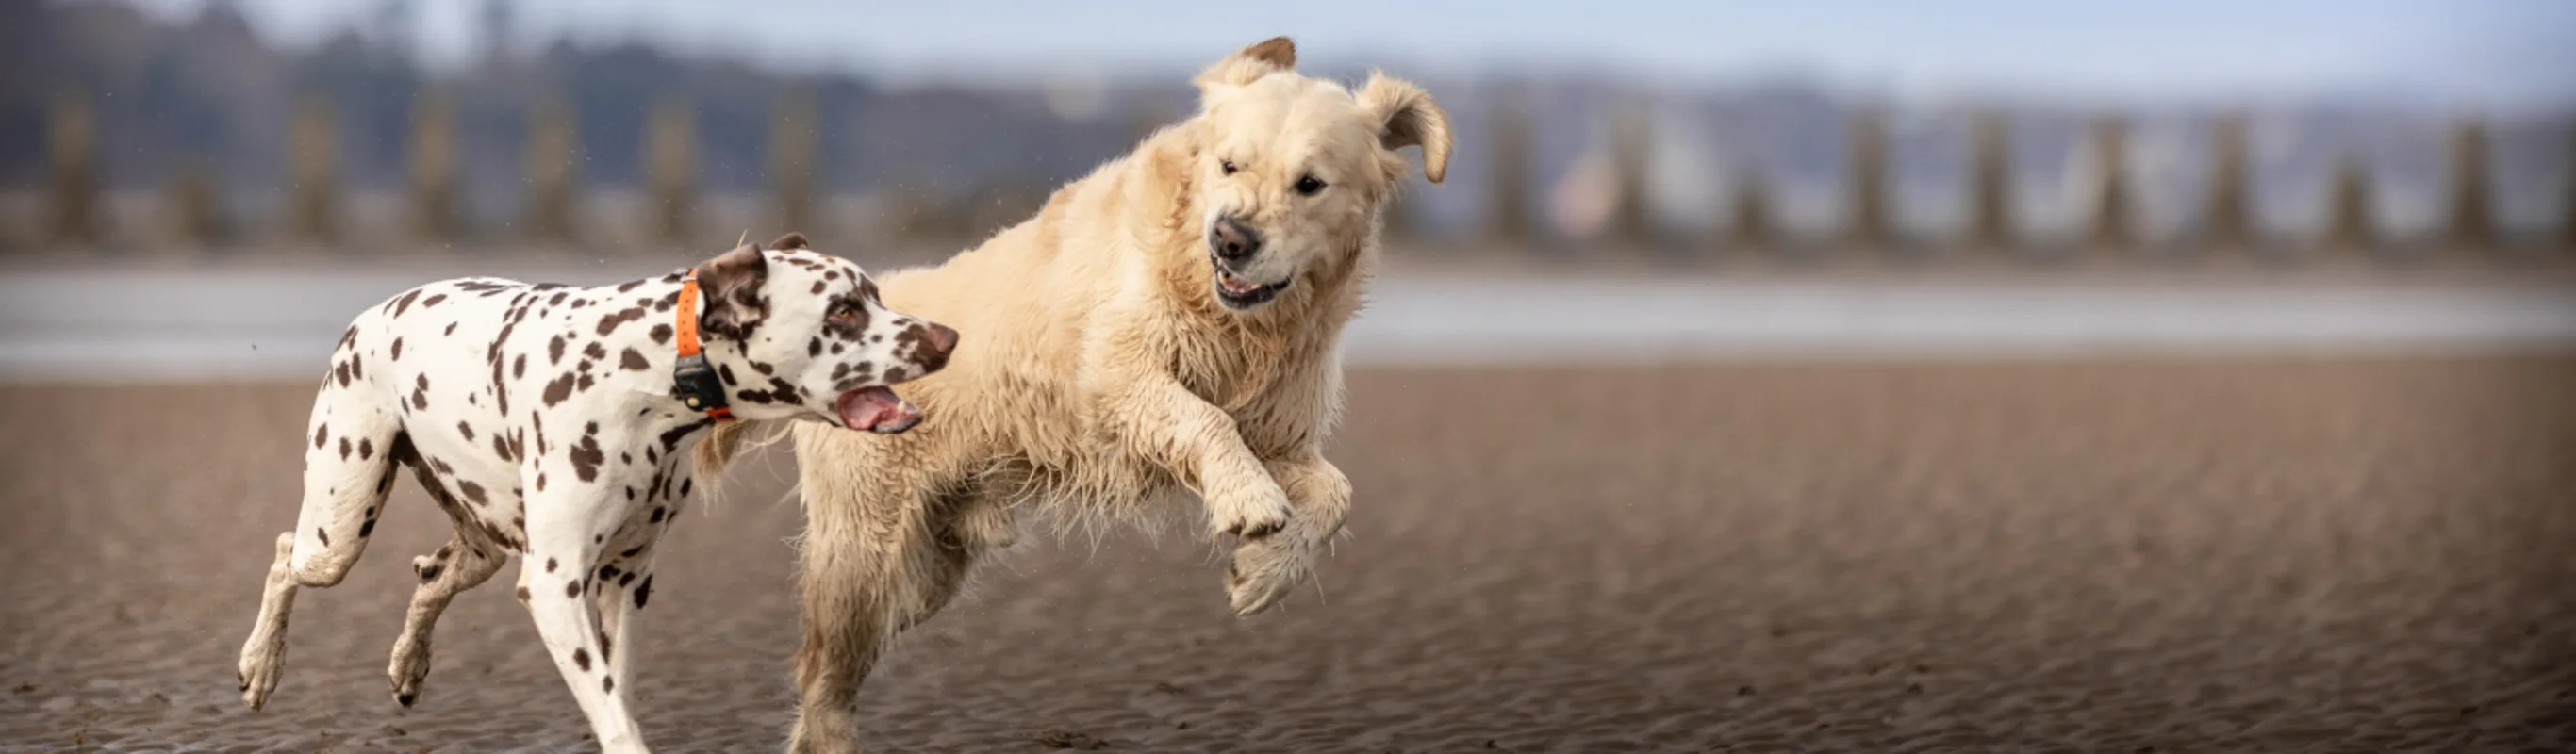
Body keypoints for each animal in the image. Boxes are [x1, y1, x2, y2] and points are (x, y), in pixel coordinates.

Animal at [229, 231, 958, 746]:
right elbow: (612, 714)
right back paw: (261, 662)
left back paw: (409, 663)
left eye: (873, 296)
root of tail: (373, 312)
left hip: (481, 545)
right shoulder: (557, 587)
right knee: (285, 554)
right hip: (338, 528)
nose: (949, 336)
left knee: (430, 578)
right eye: (844, 310)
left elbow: (617, 688)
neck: (649, 374)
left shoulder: (623, 581)